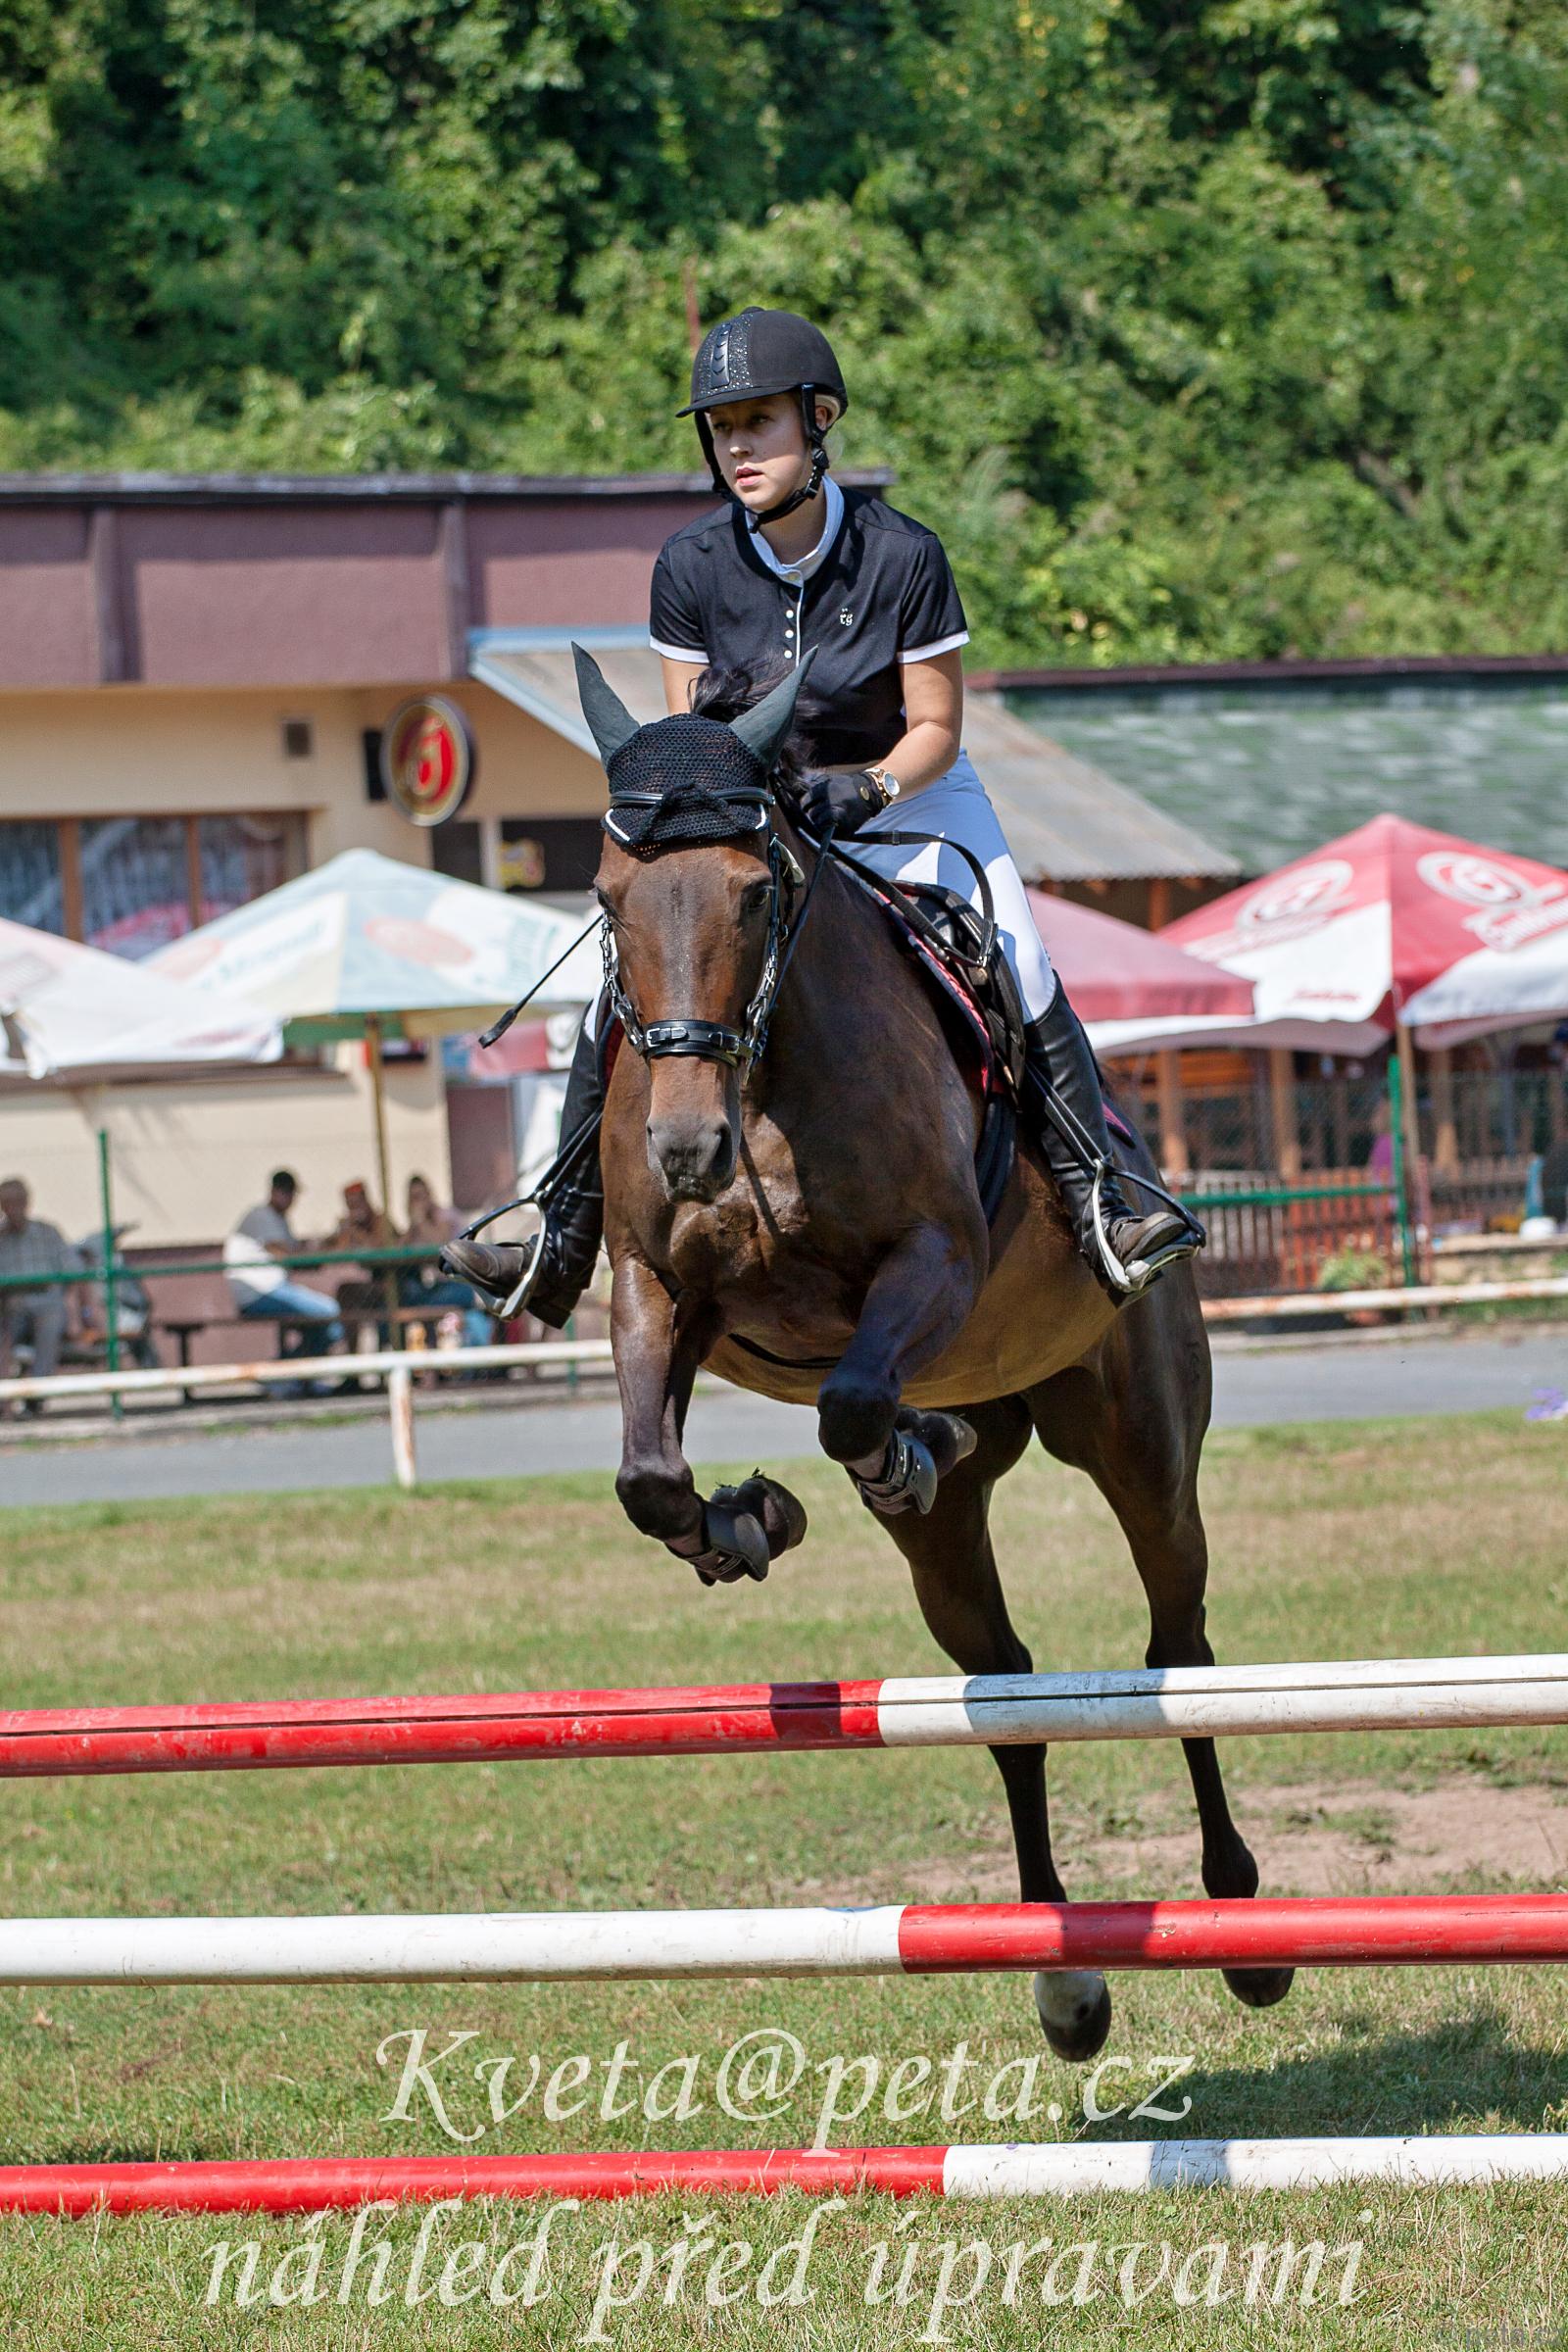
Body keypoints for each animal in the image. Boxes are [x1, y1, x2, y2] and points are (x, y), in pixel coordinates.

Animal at [576, 647, 1292, 2060]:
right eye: (610, 899)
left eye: (754, 891)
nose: (687, 1149)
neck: (762, 1077)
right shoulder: (656, 1286)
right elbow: (649, 1476)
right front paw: (746, 1522)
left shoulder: (936, 1257)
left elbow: (853, 1396)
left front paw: (880, 1449)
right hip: (957, 1541)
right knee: (1005, 1688)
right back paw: (1065, 1980)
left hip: (1141, 1445)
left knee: (1176, 1651)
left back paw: (1243, 1930)